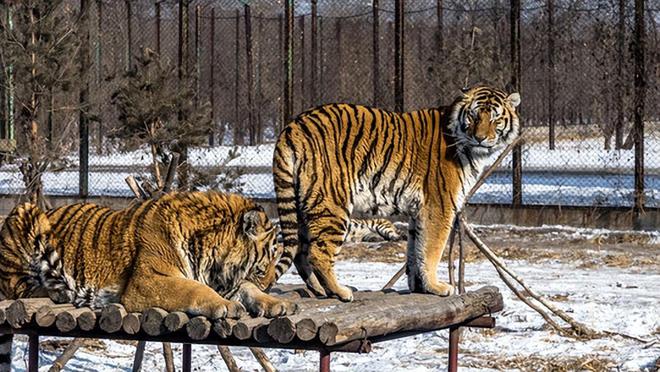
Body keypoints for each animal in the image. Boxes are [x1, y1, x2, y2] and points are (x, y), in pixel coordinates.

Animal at [270, 85, 520, 300]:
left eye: (495, 118)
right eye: (474, 116)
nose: (480, 138)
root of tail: (292, 126)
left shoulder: (419, 211)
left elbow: (415, 251)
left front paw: (419, 287)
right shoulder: (439, 207)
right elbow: (432, 250)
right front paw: (437, 287)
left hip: (304, 205)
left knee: (300, 253)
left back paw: (320, 291)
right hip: (332, 204)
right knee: (317, 253)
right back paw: (340, 292)